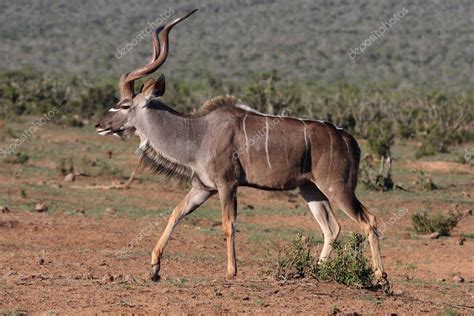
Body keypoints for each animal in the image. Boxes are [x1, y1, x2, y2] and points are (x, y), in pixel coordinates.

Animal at [96, 9, 388, 286]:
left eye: (124, 105)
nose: (100, 125)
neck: (198, 133)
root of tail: (347, 139)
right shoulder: (202, 188)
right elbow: (176, 213)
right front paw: (155, 268)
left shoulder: (227, 184)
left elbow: (228, 224)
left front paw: (231, 271)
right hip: (311, 189)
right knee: (332, 228)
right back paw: (317, 271)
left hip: (337, 187)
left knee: (368, 220)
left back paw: (380, 277)